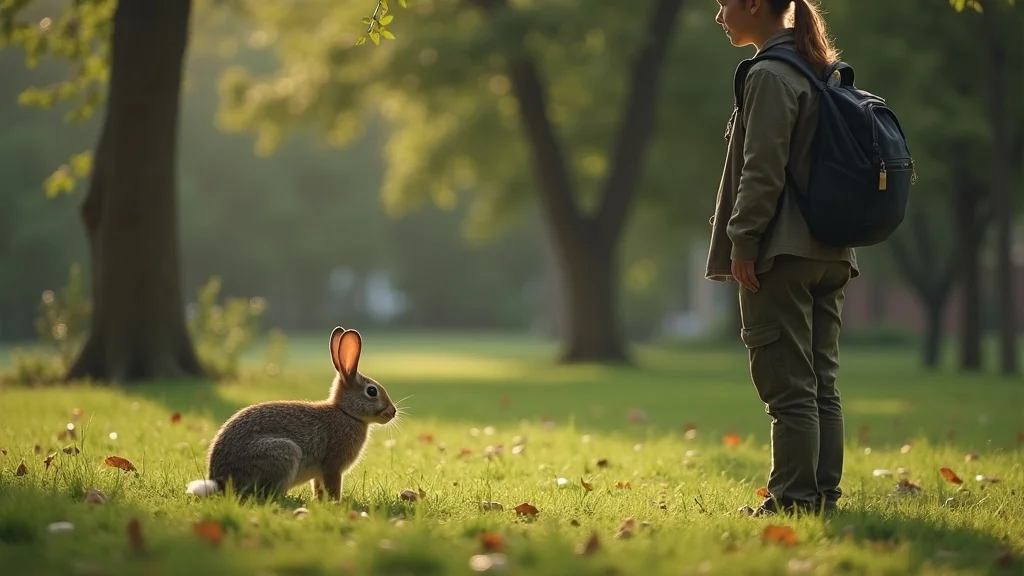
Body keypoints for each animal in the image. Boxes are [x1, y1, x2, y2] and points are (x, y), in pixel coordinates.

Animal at [186, 326, 397, 501]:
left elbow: (318, 487)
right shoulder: (332, 467)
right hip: (283, 453)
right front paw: (336, 503)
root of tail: (222, 480)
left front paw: (321, 502)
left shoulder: (320, 473)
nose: (393, 412)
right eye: (372, 391)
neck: (346, 413)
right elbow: (332, 486)